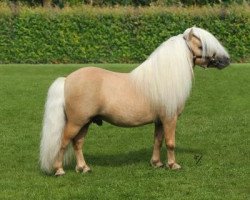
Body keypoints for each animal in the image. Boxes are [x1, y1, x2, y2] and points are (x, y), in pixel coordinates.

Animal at [40, 26, 229, 175]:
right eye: (201, 46)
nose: (226, 61)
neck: (162, 78)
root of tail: (67, 79)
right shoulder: (170, 119)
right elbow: (170, 142)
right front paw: (173, 165)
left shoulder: (159, 121)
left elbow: (157, 141)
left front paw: (156, 163)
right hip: (76, 122)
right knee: (63, 142)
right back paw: (59, 170)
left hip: (85, 122)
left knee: (78, 143)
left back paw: (84, 168)